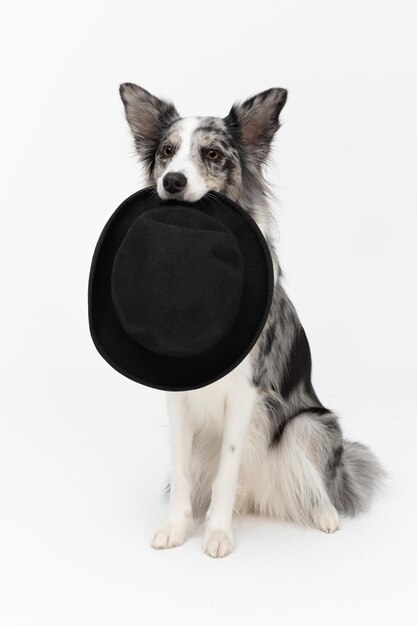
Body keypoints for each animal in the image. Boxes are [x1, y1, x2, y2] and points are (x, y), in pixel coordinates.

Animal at [118, 81, 384, 556]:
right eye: (167, 151)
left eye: (212, 154)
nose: (172, 181)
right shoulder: (177, 400)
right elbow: (182, 472)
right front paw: (176, 527)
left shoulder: (245, 394)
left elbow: (227, 472)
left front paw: (218, 533)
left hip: (310, 424)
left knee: (319, 481)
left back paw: (324, 515)